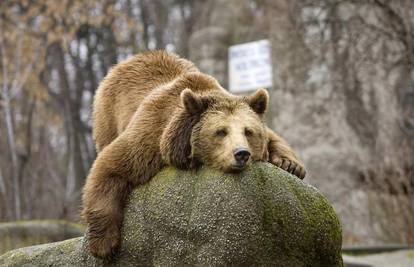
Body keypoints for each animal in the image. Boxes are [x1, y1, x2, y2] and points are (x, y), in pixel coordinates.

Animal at [82, 50, 306, 260]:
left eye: (248, 131)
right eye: (221, 131)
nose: (241, 154)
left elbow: (274, 138)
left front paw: (291, 165)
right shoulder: (151, 135)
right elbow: (111, 167)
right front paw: (104, 245)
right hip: (108, 115)